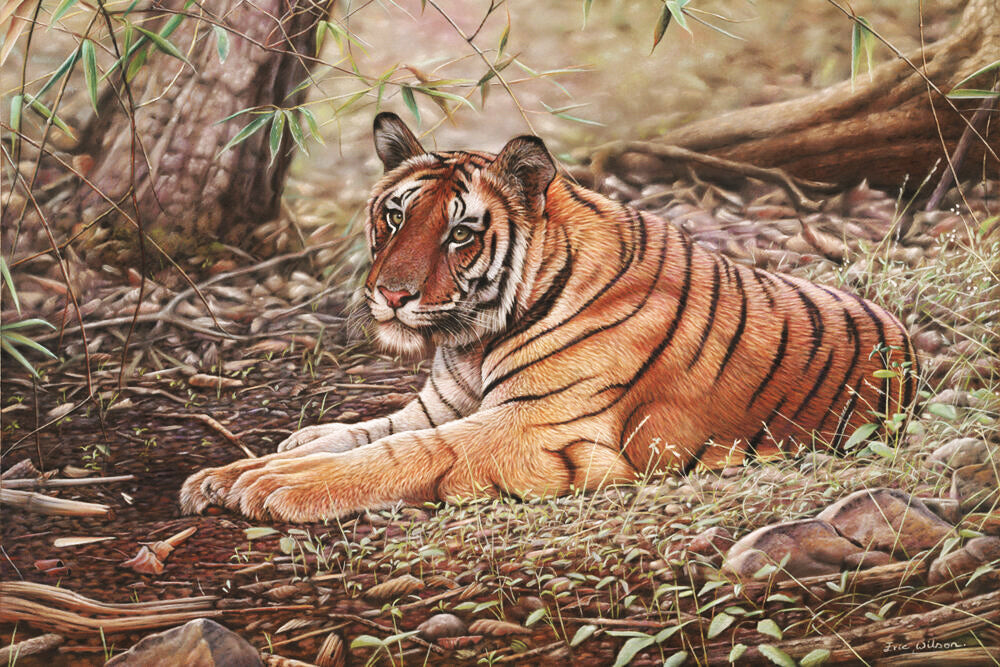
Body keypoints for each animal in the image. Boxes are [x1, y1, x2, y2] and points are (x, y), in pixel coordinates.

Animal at [179, 112, 918, 522]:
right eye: (394, 215)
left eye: (459, 234)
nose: (390, 294)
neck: (469, 340)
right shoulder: (441, 404)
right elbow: (357, 432)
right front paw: (231, 471)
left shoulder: (532, 426)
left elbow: (403, 452)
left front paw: (271, 482)